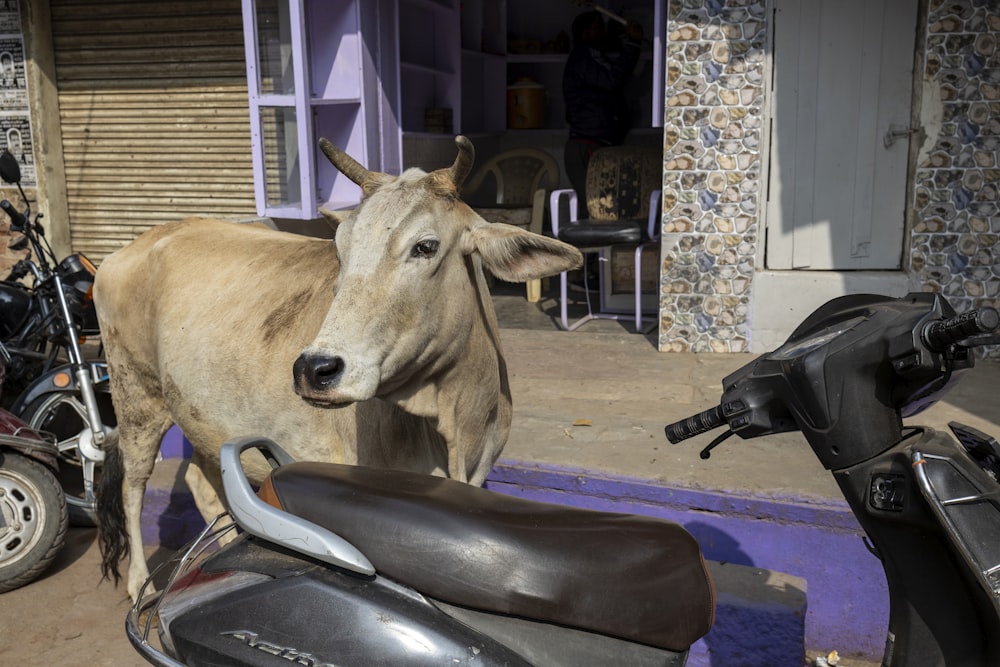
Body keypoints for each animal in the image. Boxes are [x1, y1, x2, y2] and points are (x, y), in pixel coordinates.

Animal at [95, 136, 580, 600]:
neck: (454, 418)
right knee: (132, 487)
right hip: (136, 397)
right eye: (340, 252)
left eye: (425, 246)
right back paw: (139, 582)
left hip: (208, 419)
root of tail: (136, 245)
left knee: (201, 478)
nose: (314, 369)